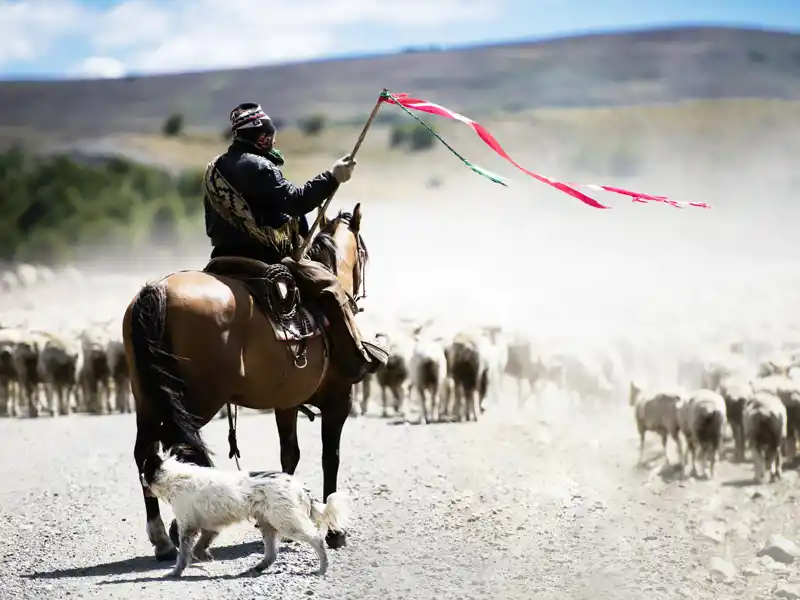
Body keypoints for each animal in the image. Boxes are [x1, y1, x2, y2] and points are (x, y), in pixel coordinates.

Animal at [124, 204, 368, 560]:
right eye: (364, 251)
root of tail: (158, 290)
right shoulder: (339, 399)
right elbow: (330, 456)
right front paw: (336, 532)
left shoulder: (286, 404)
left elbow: (289, 454)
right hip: (196, 402)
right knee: (174, 450)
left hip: (148, 400)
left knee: (146, 451)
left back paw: (163, 539)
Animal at [140, 446, 350, 576]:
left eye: (144, 469)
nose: (140, 477)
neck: (173, 477)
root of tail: (299, 486)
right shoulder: (209, 526)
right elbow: (200, 545)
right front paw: (204, 556)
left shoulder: (187, 527)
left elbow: (183, 554)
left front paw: (176, 572)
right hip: (267, 523)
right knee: (272, 554)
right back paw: (259, 567)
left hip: (287, 522)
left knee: (316, 540)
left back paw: (323, 567)